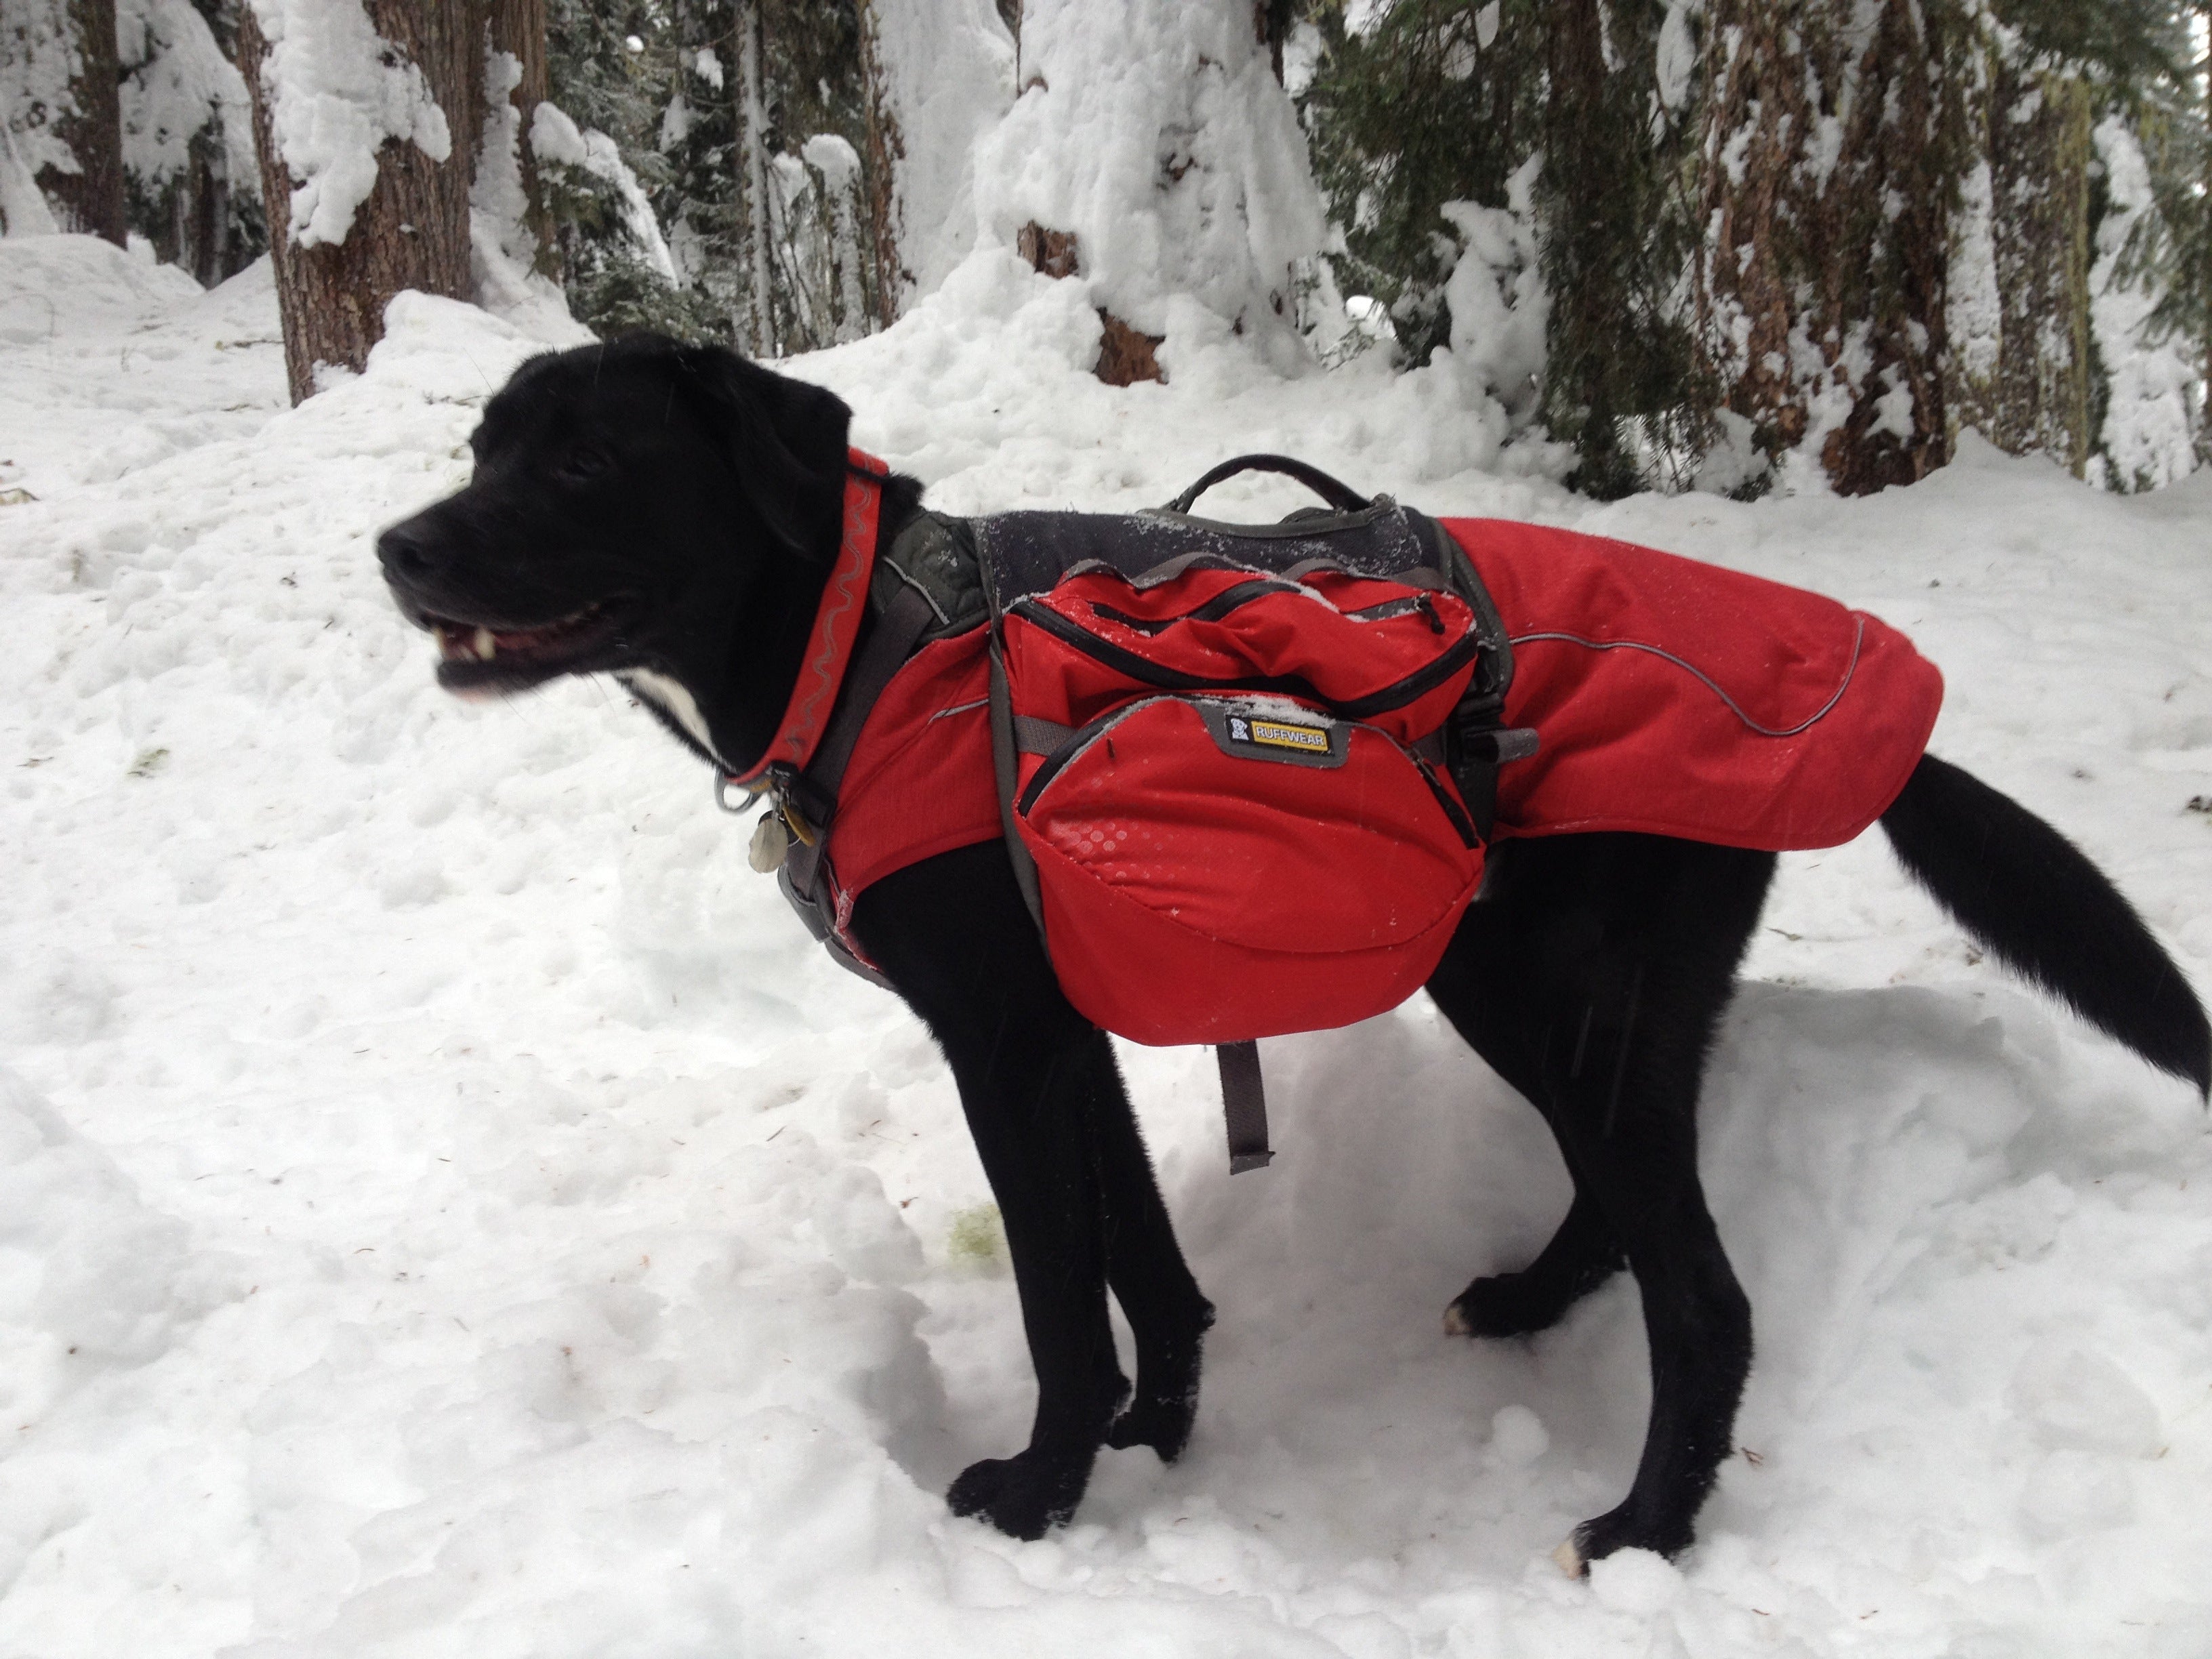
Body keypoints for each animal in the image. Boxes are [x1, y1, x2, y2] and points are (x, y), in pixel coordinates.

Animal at [371, 333, 2203, 1574]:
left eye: (584, 466)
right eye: (481, 445)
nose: (397, 546)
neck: (865, 648)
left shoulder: (1003, 1047)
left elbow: (1058, 1302)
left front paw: (1038, 1496)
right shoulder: (1069, 1033)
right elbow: (1144, 1266)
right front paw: (1157, 1435)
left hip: (1562, 994)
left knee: (1707, 1295)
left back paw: (1643, 1531)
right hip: (1533, 991)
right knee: (1619, 1222)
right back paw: (1525, 1303)